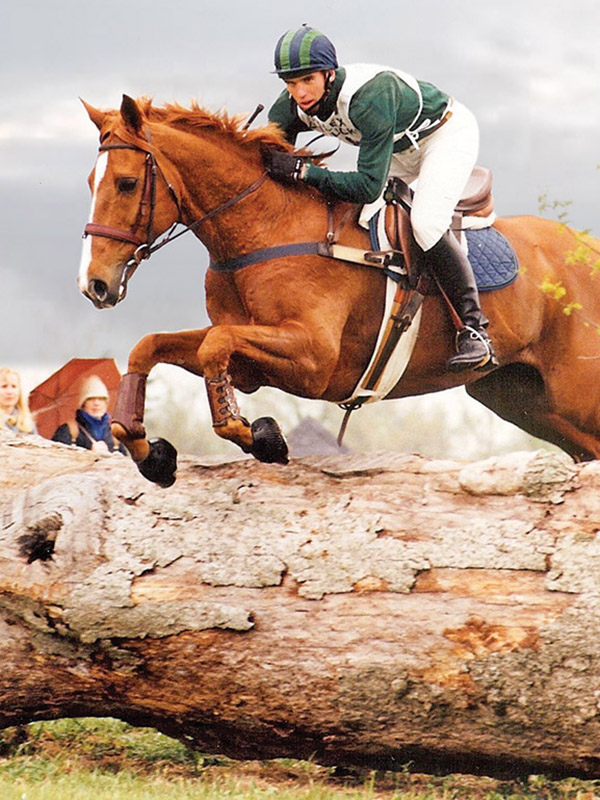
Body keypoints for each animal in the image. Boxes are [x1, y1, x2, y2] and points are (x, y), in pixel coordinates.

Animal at [78, 94, 600, 487]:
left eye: (126, 183)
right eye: (89, 182)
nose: (94, 284)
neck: (265, 227)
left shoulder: (313, 359)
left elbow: (214, 348)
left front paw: (259, 436)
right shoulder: (248, 358)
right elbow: (154, 347)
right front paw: (148, 451)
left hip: (574, 395)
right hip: (524, 400)